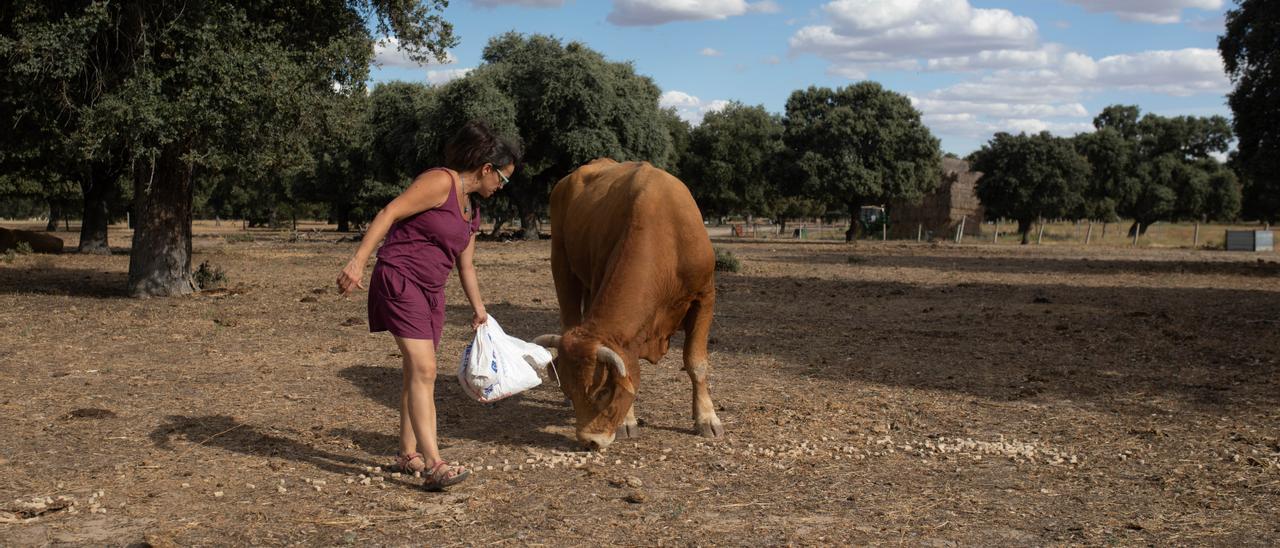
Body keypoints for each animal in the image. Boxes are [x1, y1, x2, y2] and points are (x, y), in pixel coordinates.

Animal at [535, 158, 727, 450]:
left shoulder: (705, 297)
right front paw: (627, 421)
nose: (590, 441)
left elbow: (696, 362)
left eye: (603, 390)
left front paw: (706, 418)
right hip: (562, 263)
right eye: (571, 387)